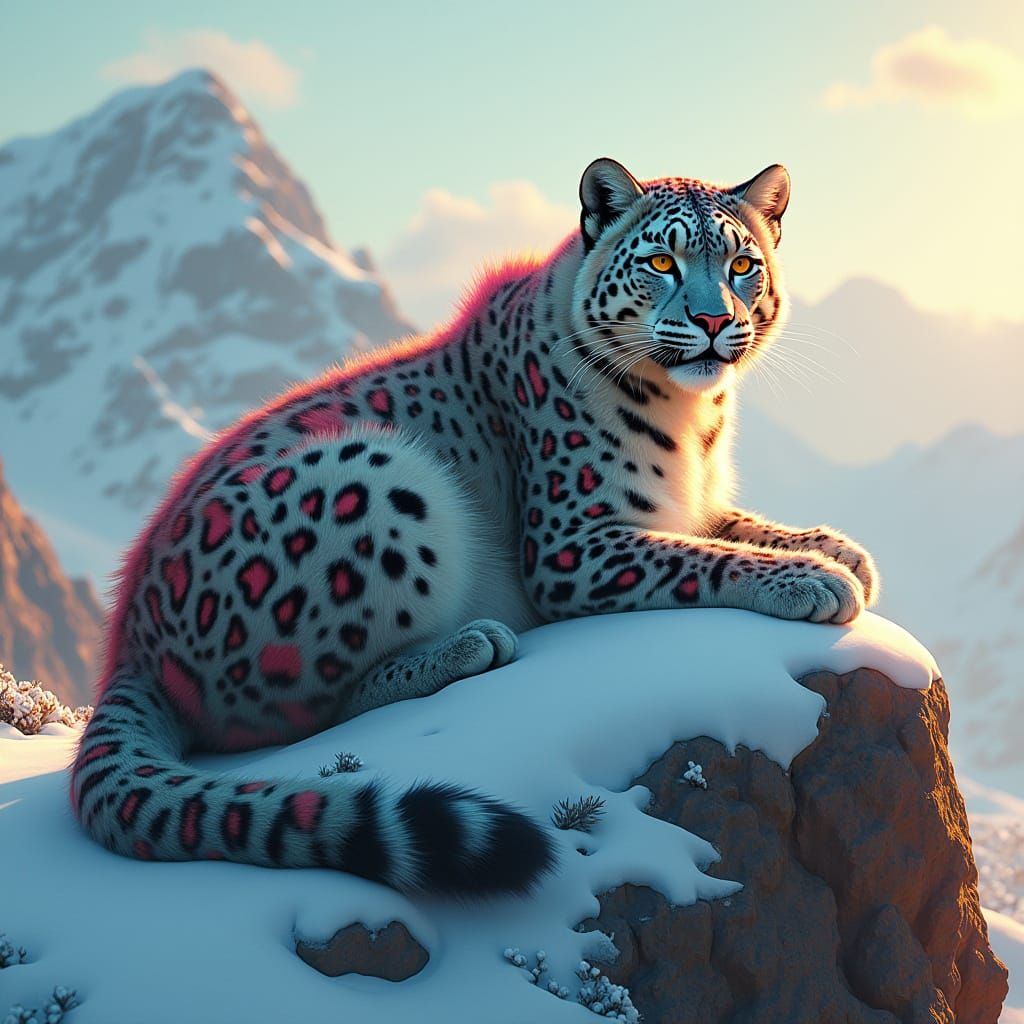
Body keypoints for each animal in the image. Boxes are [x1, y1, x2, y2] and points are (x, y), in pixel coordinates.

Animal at [71, 158, 878, 897]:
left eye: (743, 265)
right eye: (660, 261)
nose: (714, 322)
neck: (697, 422)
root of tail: (127, 636)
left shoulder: (694, 505)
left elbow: (734, 528)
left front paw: (840, 551)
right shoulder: (572, 545)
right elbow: (700, 558)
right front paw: (815, 580)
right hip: (377, 477)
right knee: (306, 711)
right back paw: (471, 645)